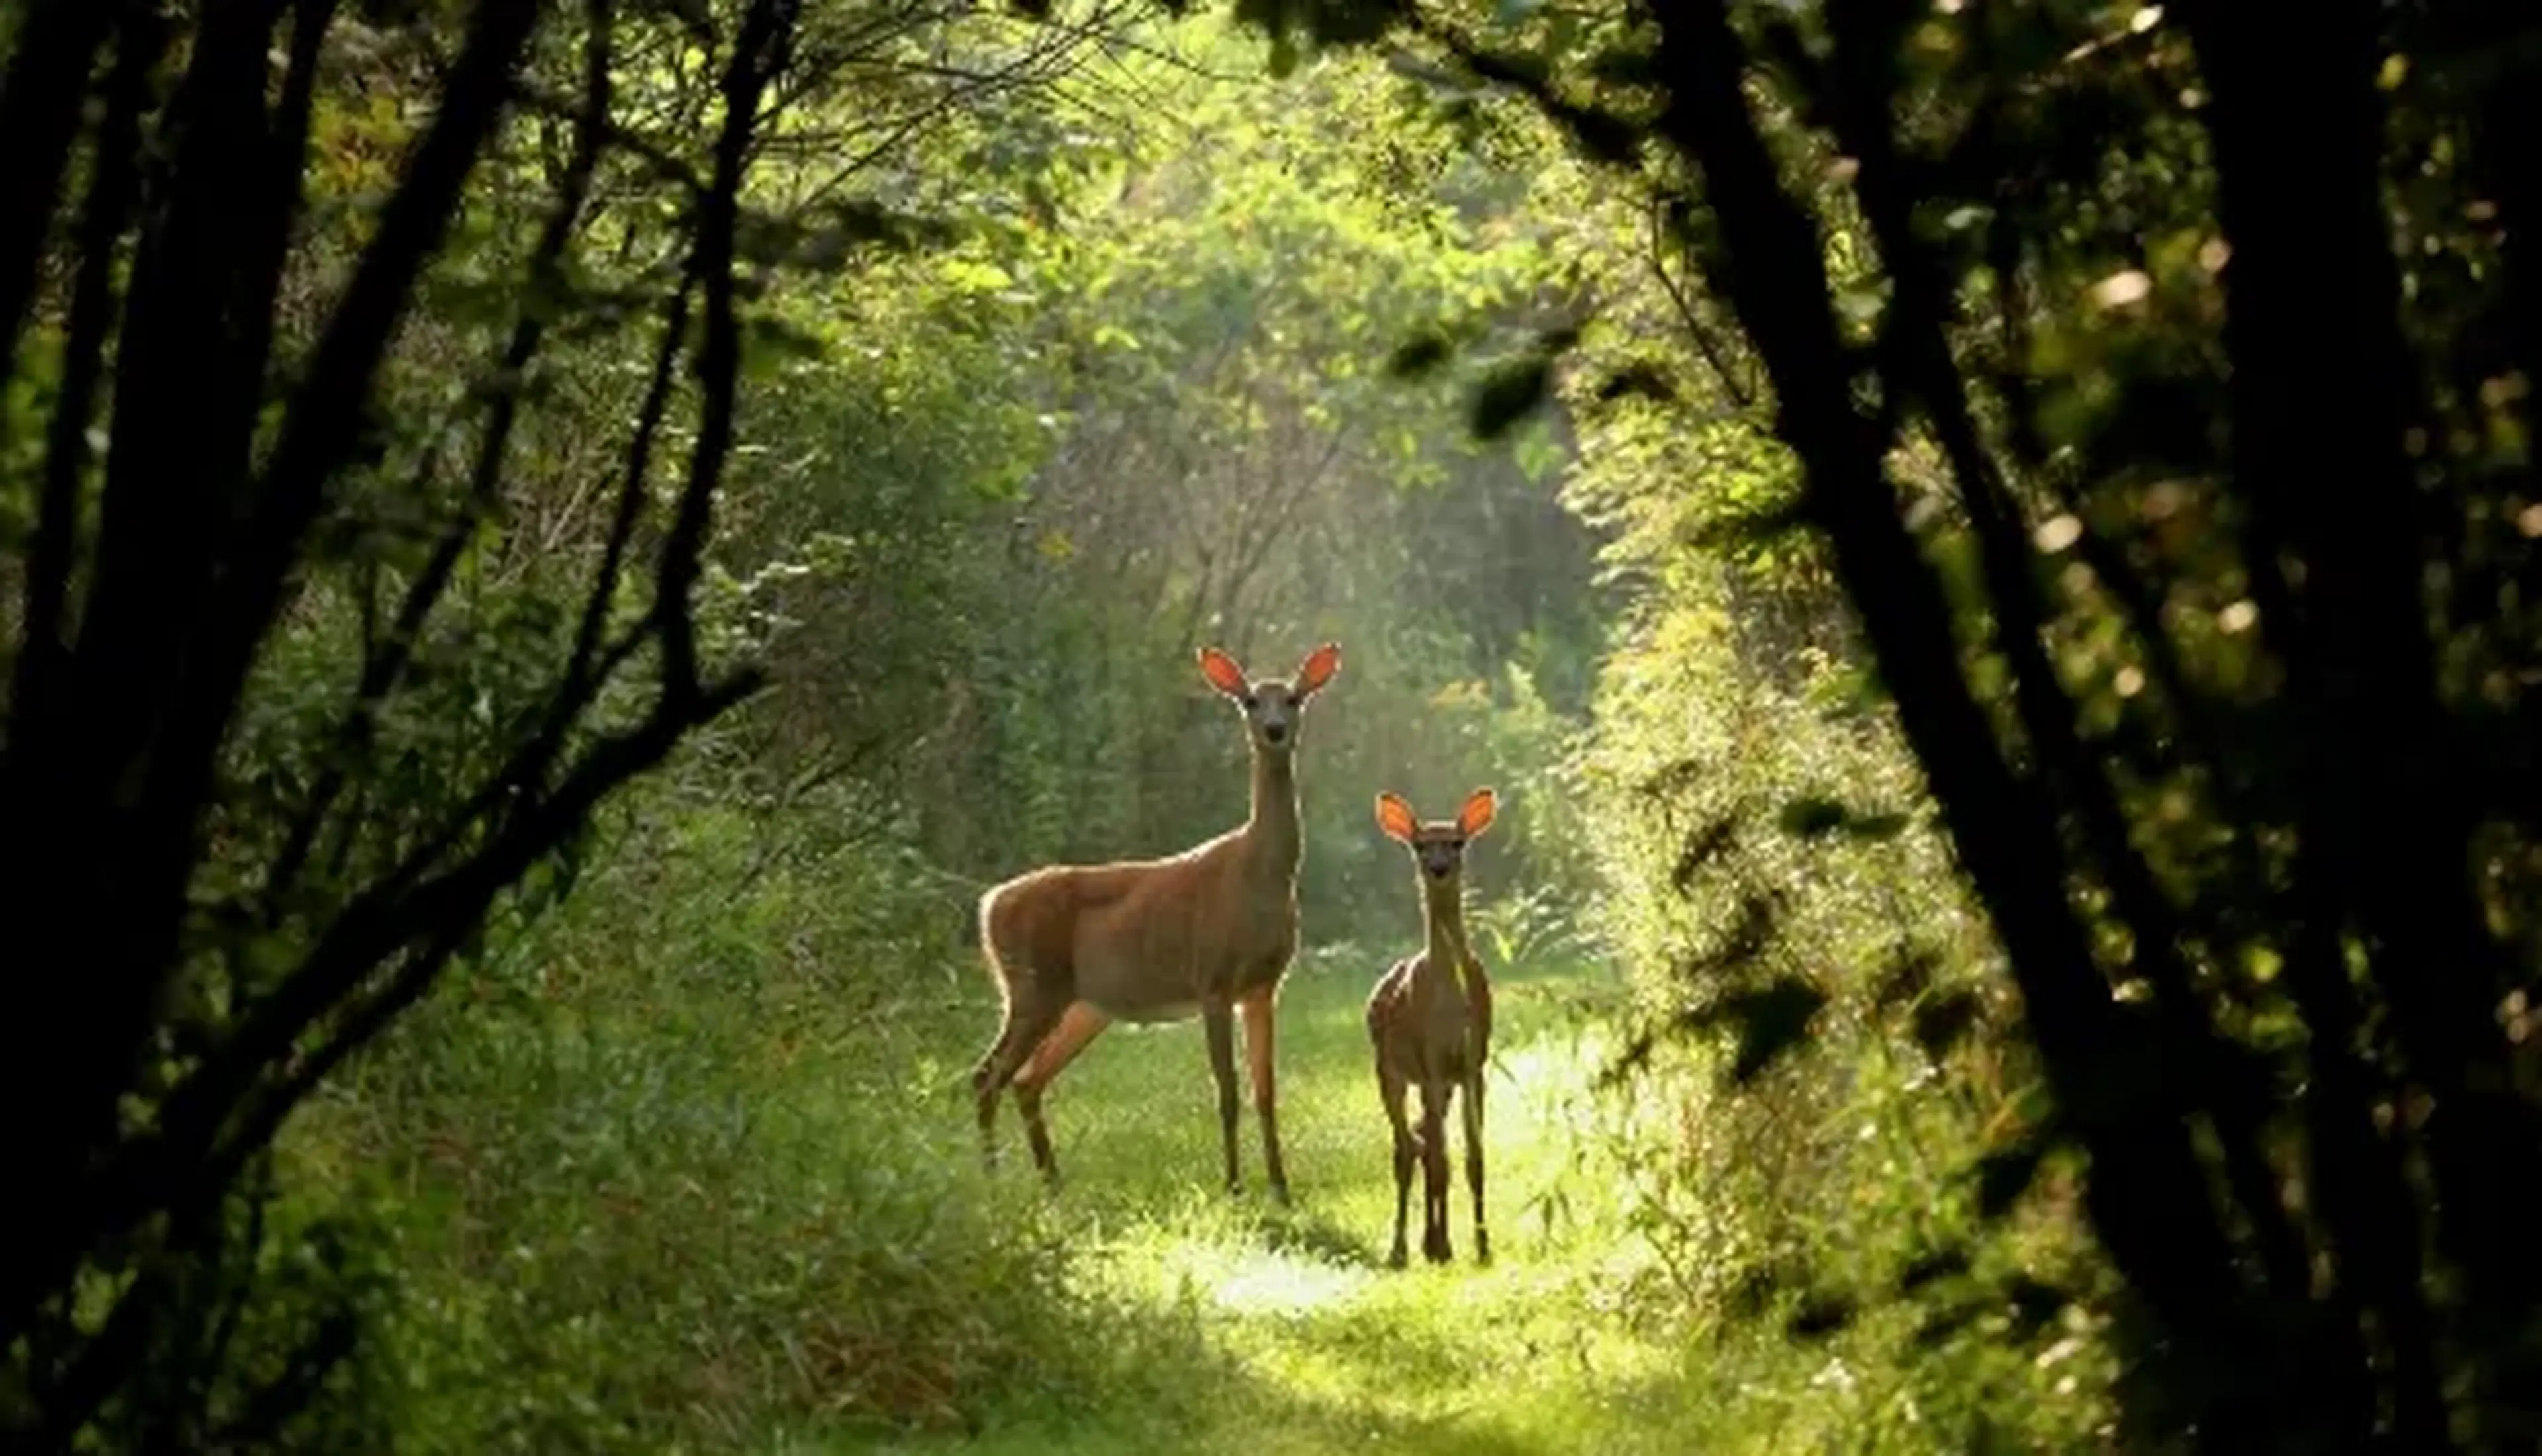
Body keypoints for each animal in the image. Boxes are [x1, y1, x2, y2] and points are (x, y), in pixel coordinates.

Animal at [971, 641, 1342, 1205]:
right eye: (1252, 700)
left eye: (1295, 698)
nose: (1276, 729)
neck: (1260, 874)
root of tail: (989, 905)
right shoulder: (1212, 978)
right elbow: (1227, 1090)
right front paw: (1233, 1186)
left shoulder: (1263, 987)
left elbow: (1266, 1091)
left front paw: (1281, 1189)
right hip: (1032, 986)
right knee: (987, 1075)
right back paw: (994, 1185)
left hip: (1083, 1006)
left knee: (1025, 1079)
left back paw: (1053, 1184)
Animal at [1366, 786, 1498, 1268]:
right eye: (1421, 846)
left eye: (1457, 842)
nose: (1438, 868)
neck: (1449, 1003)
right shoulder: (1430, 1061)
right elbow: (1440, 1161)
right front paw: (1444, 1247)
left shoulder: (1473, 1064)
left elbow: (1474, 1160)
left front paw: (1483, 1247)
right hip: (1388, 1070)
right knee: (1407, 1149)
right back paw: (1404, 1249)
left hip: (1439, 1084)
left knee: (1423, 1141)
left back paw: (1430, 1241)